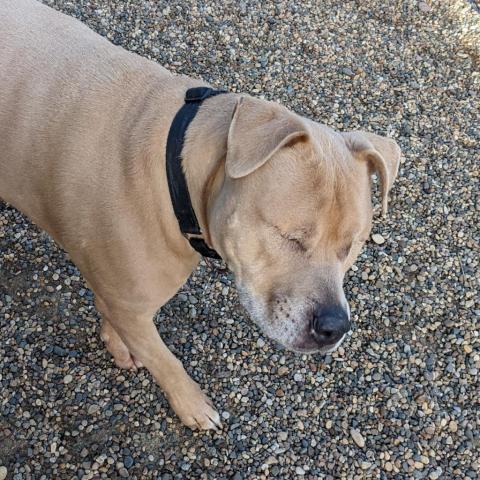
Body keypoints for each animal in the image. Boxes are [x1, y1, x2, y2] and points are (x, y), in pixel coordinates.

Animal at [0, 0, 402, 430]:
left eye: (352, 247)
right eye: (289, 236)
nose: (333, 327)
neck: (175, 171)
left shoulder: (121, 296)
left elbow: (109, 310)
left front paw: (116, 343)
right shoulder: (134, 308)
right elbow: (166, 363)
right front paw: (191, 406)